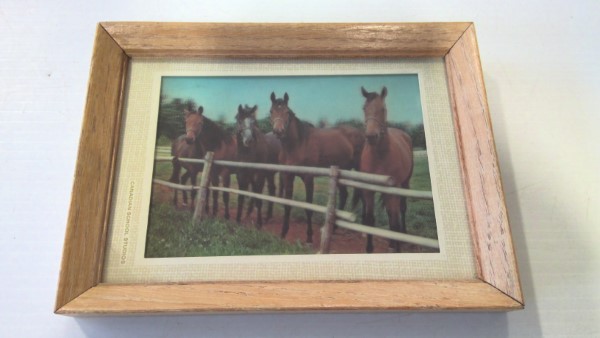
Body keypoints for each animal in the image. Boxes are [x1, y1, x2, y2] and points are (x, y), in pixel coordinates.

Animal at [270, 92, 358, 244]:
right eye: (271, 111)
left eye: (287, 112)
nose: (278, 131)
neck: (297, 144)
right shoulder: (288, 176)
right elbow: (287, 204)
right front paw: (283, 233)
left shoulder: (308, 178)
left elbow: (308, 207)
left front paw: (309, 237)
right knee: (344, 195)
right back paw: (334, 229)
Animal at [360, 86, 412, 252]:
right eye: (364, 108)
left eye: (383, 109)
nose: (371, 136)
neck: (380, 156)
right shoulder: (368, 190)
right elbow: (370, 219)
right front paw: (369, 248)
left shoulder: (393, 191)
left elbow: (395, 222)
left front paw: (397, 247)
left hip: (404, 184)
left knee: (401, 210)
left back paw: (402, 236)